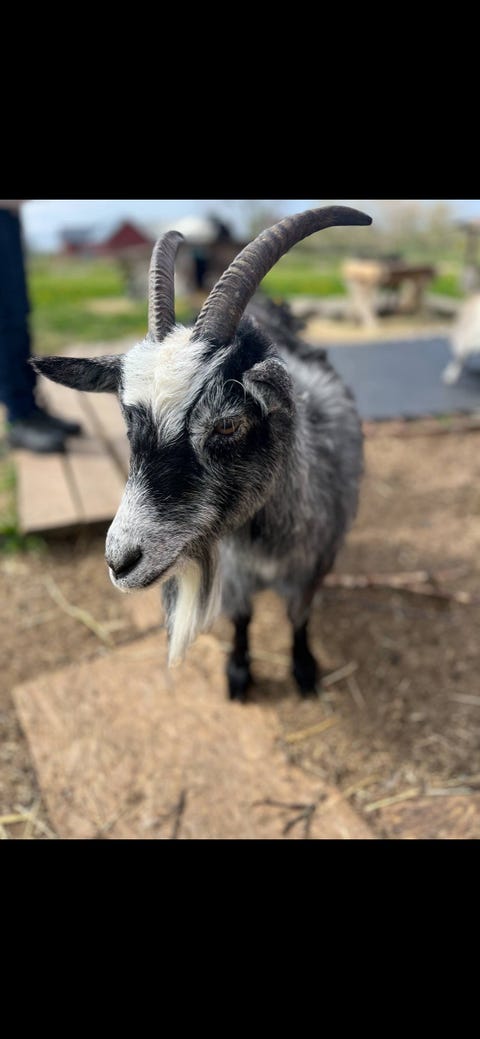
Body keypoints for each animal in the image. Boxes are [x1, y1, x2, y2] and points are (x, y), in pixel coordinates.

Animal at [34, 205, 372, 702]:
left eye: (227, 423)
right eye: (127, 420)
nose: (120, 561)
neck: (261, 542)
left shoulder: (314, 566)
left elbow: (298, 617)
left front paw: (305, 668)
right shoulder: (235, 576)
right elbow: (243, 617)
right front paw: (239, 671)